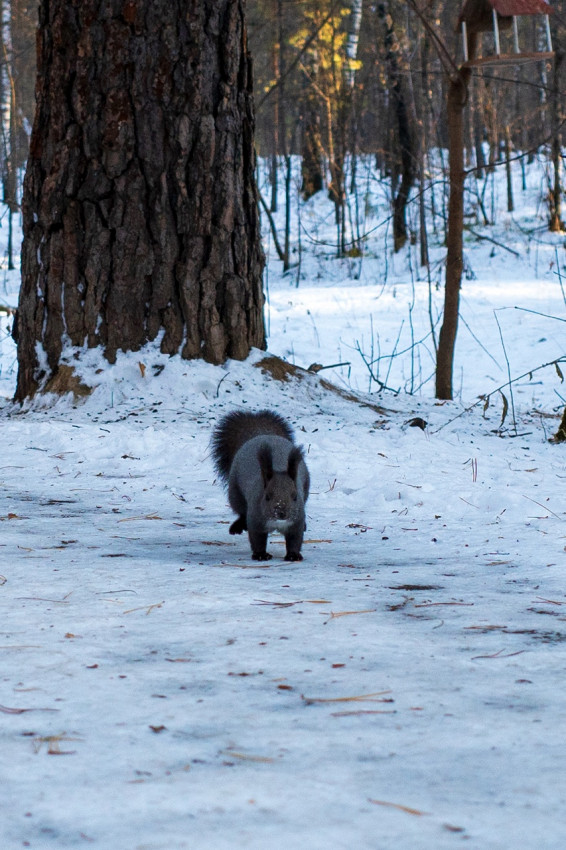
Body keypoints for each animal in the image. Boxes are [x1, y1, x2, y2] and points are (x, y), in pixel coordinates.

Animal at [212, 408, 310, 560]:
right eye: (267, 497)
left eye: (295, 497)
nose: (280, 512)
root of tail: (261, 435)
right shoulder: (255, 519)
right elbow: (257, 539)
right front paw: (260, 555)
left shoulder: (296, 522)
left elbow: (295, 539)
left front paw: (293, 555)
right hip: (235, 493)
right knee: (241, 511)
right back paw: (238, 525)